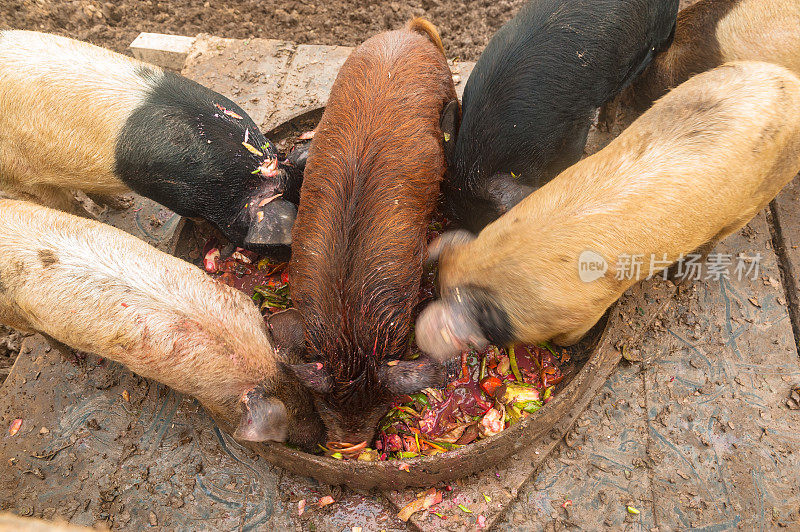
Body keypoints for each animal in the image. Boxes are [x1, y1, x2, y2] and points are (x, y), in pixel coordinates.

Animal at [1, 198, 324, 448]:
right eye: (284, 428)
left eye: (308, 399)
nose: (316, 441)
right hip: (14, 315)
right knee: (42, 335)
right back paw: (76, 360)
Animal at [416, 61, 800, 362]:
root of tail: (789, 81)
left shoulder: (589, 307)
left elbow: (572, 335)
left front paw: (568, 349)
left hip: (758, 196)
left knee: (718, 237)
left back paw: (679, 278)